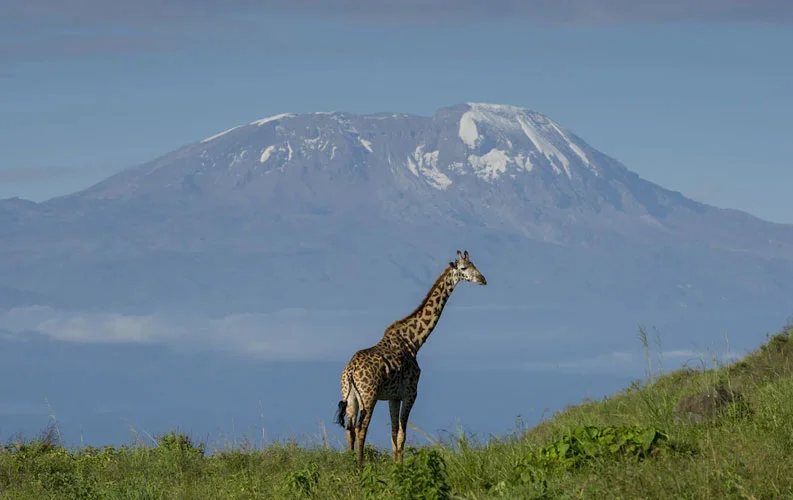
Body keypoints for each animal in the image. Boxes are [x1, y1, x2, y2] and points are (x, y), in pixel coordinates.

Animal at [332, 250, 486, 472]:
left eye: (475, 264)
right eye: (464, 268)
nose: (483, 279)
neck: (414, 341)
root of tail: (350, 371)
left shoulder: (394, 397)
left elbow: (393, 433)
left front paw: (396, 466)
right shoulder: (411, 393)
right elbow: (402, 435)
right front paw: (401, 469)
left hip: (349, 395)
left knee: (349, 429)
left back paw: (351, 465)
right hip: (369, 396)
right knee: (361, 428)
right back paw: (360, 469)